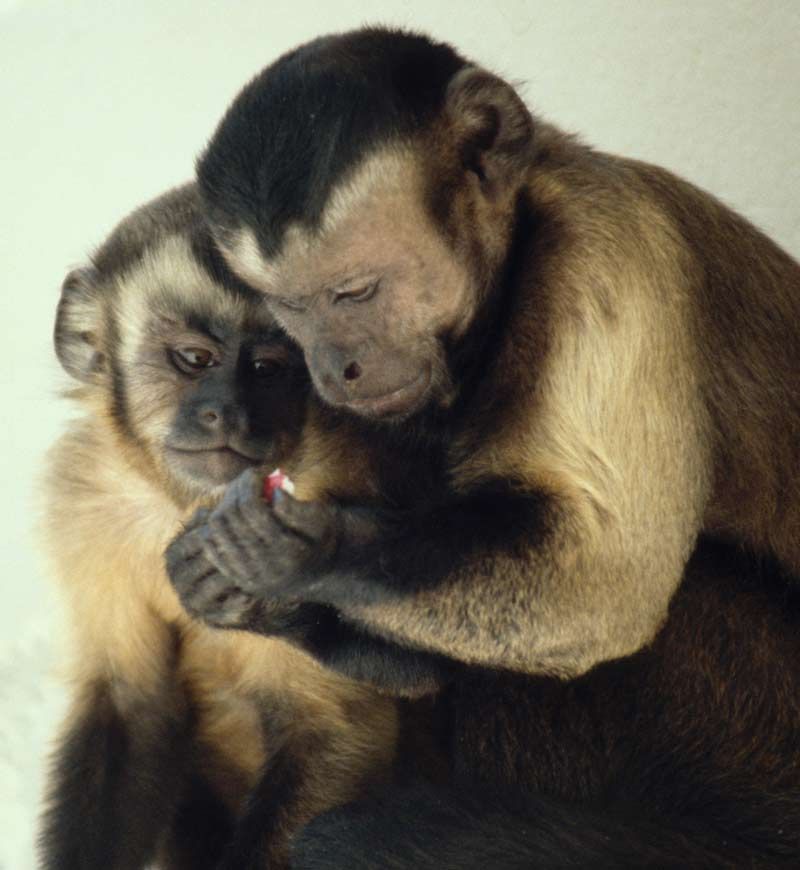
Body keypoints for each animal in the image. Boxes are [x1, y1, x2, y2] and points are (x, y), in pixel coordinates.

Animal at [162, 27, 800, 870]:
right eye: (290, 309)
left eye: (355, 292)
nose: (337, 366)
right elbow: (432, 660)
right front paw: (243, 593)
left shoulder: (608, 252)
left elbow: (604, 584)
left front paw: (304, 551)